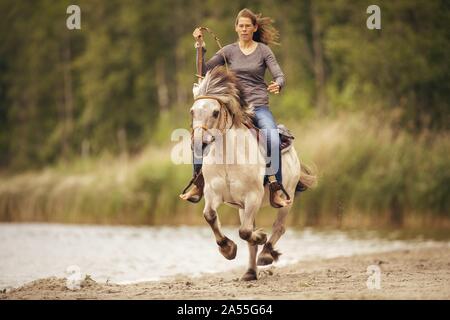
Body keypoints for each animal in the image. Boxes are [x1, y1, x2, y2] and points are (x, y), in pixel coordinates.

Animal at [191, 67, 316, 280]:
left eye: (215, 112)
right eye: (192, 111)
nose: (199, 144)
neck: (228, 158)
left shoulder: (253, 197)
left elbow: (245, 232)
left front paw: (260, 237)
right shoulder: (213, 194)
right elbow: (210, 216)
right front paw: (228, 249)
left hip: (286, 198)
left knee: (279, 227)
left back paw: (266, 254)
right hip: (243, 208)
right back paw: (250, 272)